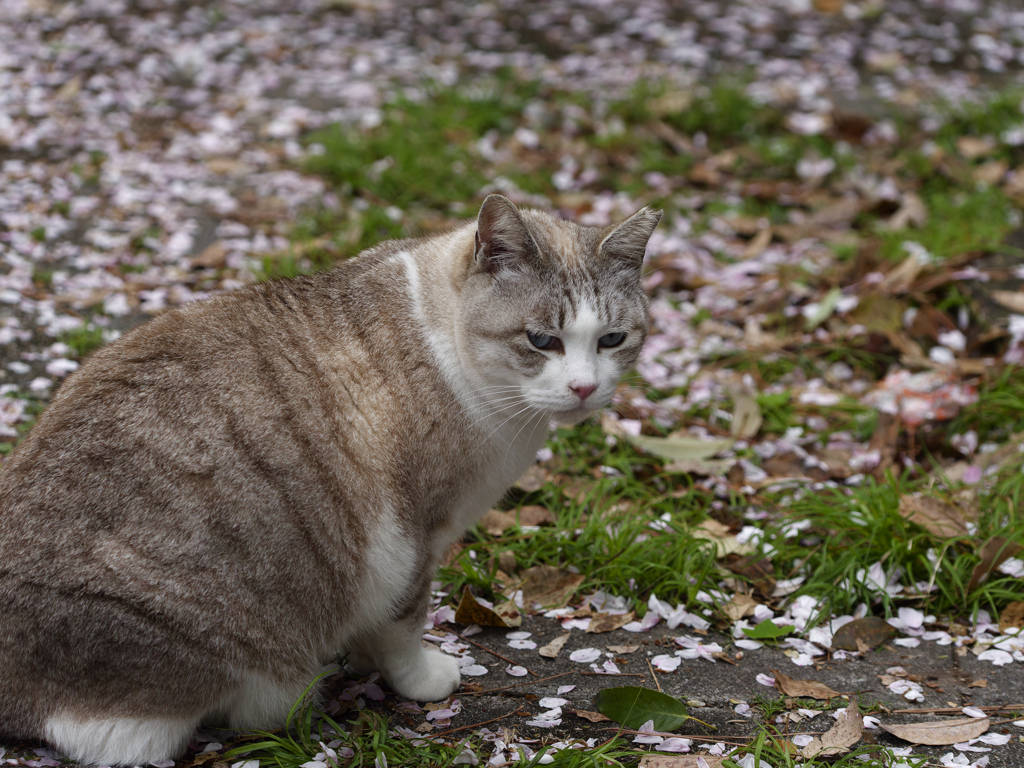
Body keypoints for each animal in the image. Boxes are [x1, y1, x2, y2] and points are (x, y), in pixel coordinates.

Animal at [0, 195, 659, 765]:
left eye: (612, 341)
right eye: (542, 341)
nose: (584, 388)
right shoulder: (412, 537)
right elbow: (404, 624)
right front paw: (421, 679)